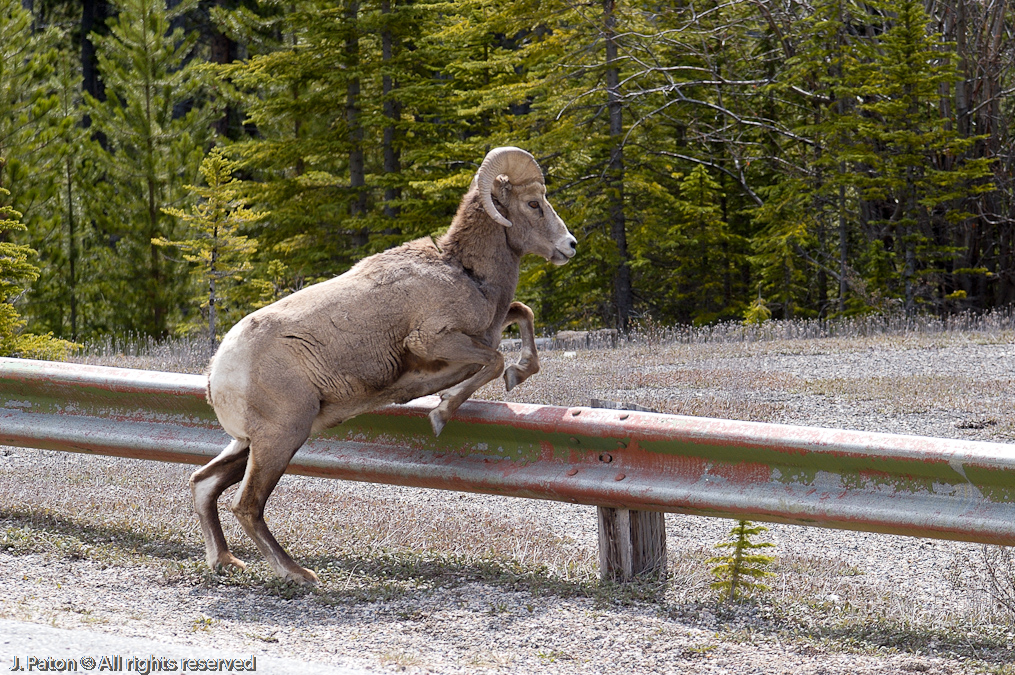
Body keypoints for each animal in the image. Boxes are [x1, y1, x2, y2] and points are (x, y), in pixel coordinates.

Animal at [190, 146, 577, 584]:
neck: (466, 274)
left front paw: (517, 373)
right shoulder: (433, 340)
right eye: (533, 204)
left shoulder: (488, 329)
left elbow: (522, 315)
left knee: (204, 484)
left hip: (250, 444)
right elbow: (494, 361)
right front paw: (442, 413)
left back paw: (225, 561)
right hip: (280, 439)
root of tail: (216, 374)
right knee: (247, 505)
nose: (570, 245)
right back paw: (299, 573)